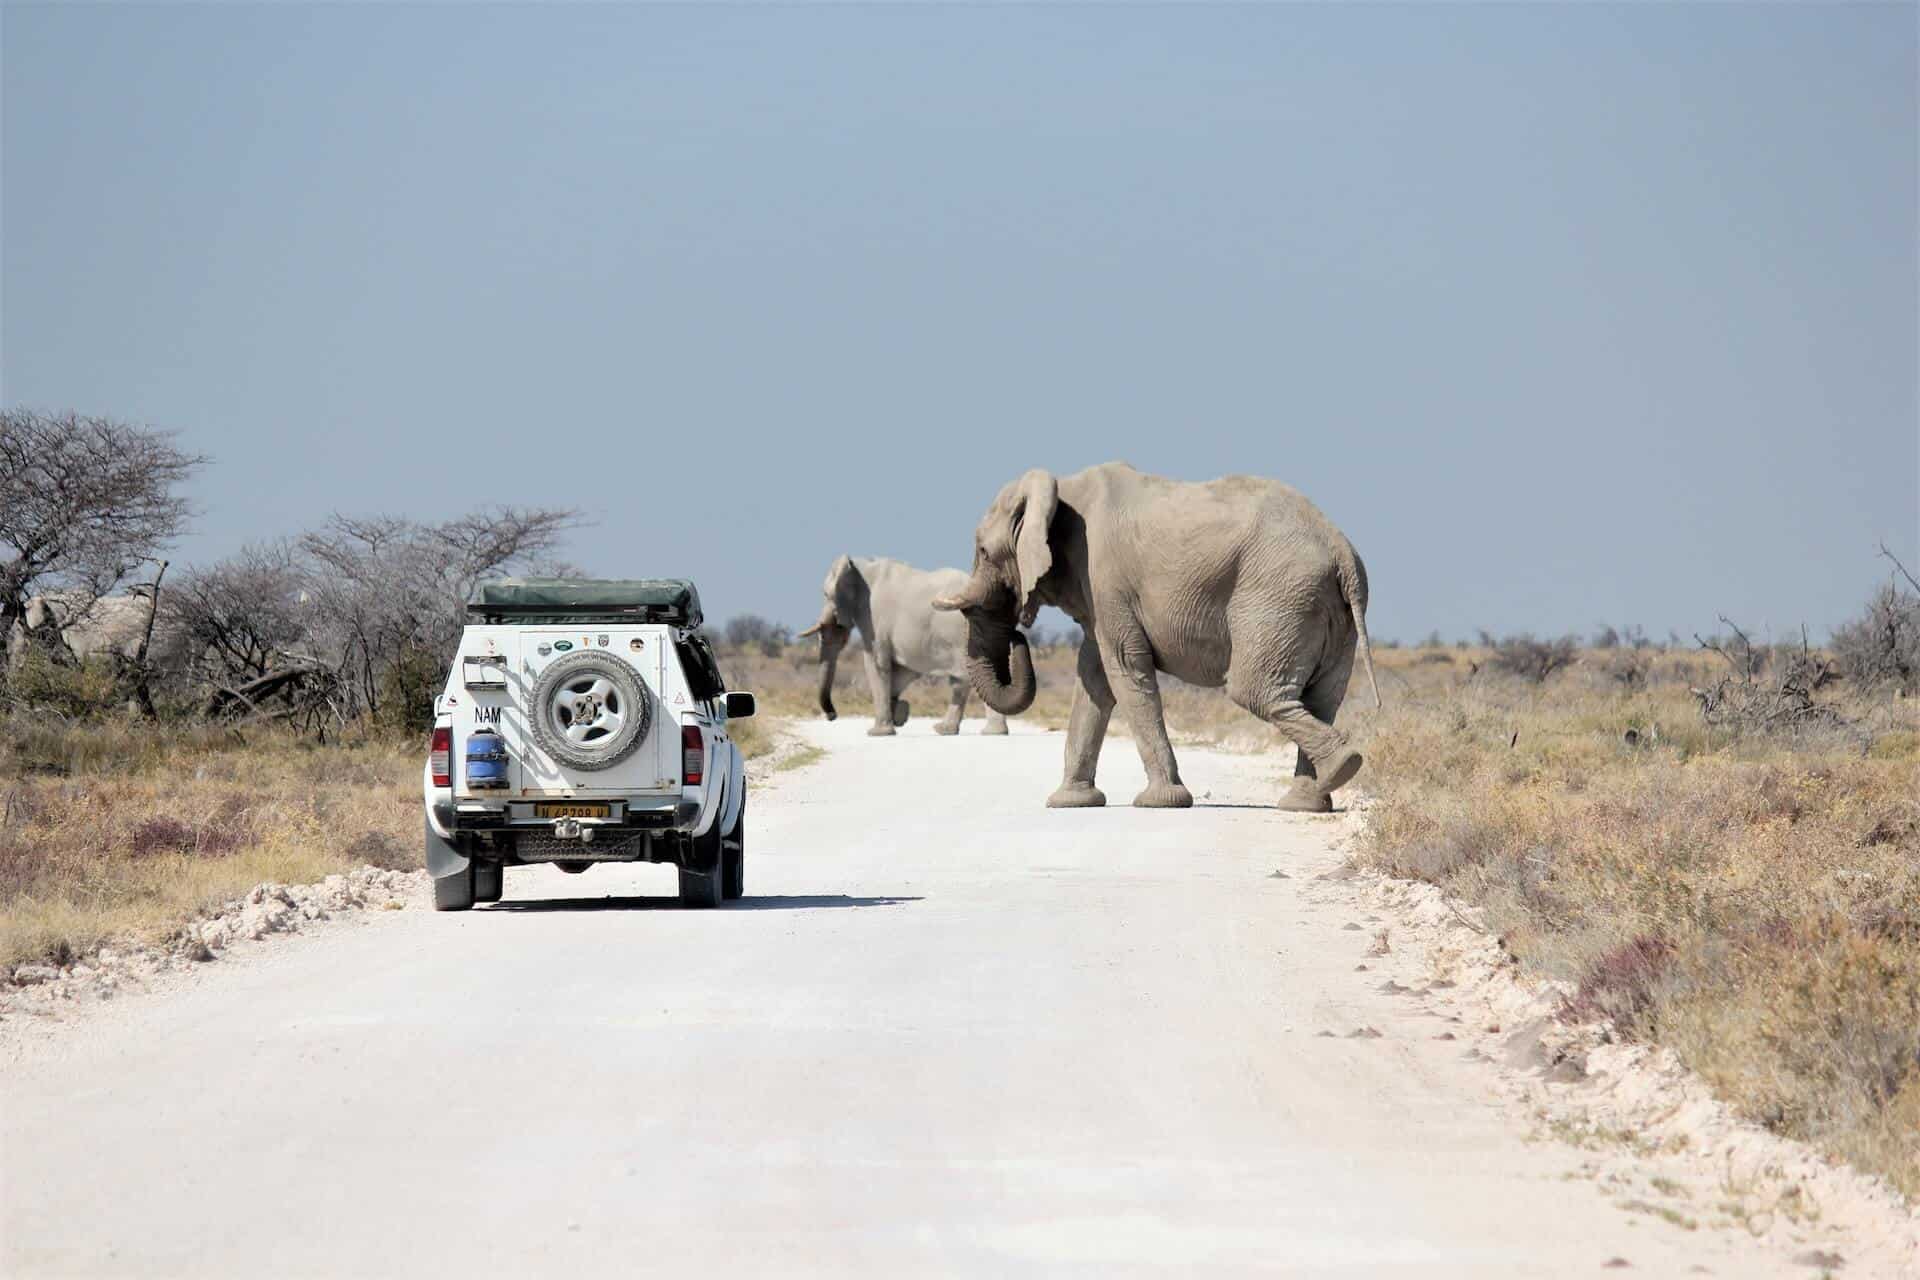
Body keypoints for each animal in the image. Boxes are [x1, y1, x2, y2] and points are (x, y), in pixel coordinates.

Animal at [794, 552, 1013, 740]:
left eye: (825, 594)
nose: (832, 716)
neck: (861, 564)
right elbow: (905, 671)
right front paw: (899, 715)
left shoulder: (873, 617)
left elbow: (875, 664)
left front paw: (877, 733)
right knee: (964, 681)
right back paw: (947, 730)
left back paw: (992, 733)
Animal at [933, 466, 1374, 817]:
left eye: (984, 552)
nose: (1019, 636)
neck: (1062, 490)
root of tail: (1342, 551)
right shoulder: (1099, 595)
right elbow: (1094, 679)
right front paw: (1069, 803)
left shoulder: (1105, 578)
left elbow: (1124, 669)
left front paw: (1159, 802)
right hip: (1325, 610)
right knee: (1321, 698)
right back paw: (1310, 799)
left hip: (1279, 597)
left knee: (1254, 690)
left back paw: (1343, 767)